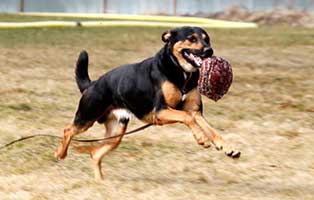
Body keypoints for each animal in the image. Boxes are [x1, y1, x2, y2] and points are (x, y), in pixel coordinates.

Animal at [54, 25, 240, 180]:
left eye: (207, 39)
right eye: (192, 38)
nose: (209, 50)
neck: (180, 71)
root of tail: (92, 84)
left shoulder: (195, 111)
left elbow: (212, 130)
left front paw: (228, 147)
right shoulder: (161, 111)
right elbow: (187, 118)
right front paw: (201, 139)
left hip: (116, 133)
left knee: (95, 154)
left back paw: (100, 181)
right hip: (87, 116)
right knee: (68, 130)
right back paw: (60, 154)